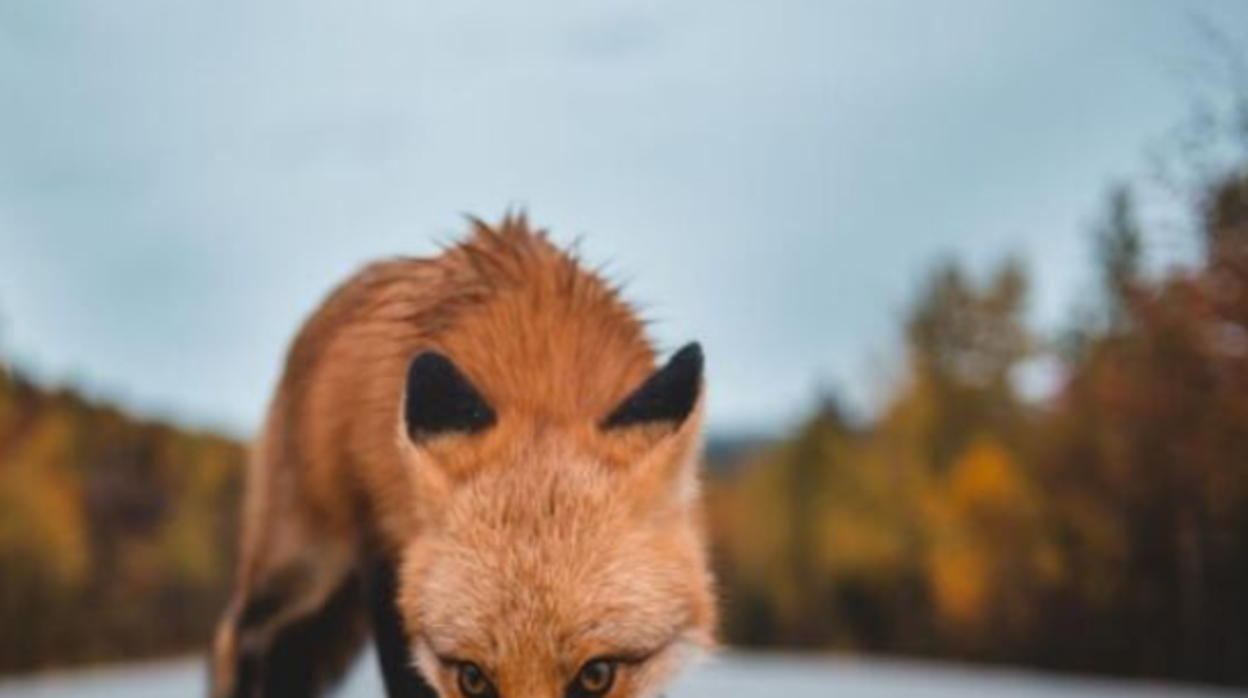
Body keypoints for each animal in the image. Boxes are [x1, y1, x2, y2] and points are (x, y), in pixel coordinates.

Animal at [210, 214, 718, 698]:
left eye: (597, 676)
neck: (540, 385)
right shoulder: (386, 560)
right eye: (473, 679)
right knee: (235, 637)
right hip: (304, 568)